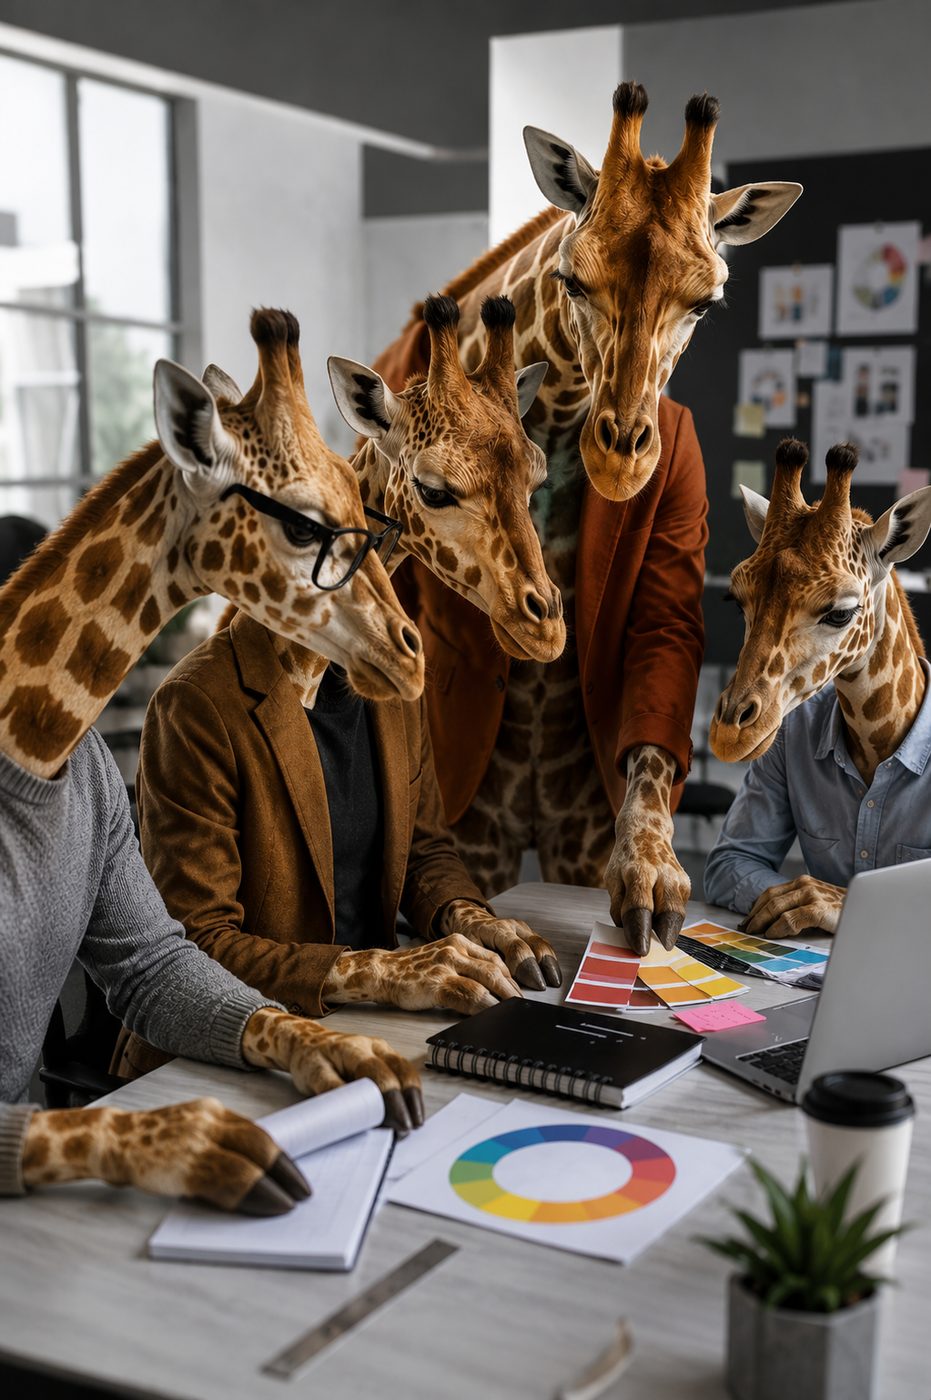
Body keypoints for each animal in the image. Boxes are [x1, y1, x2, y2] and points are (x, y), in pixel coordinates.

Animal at [378, 82, 802, 953]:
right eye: (573, 281)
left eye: (706, 302)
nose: (621, 460)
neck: (554, 406)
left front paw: (650, 878)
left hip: (569, 830)